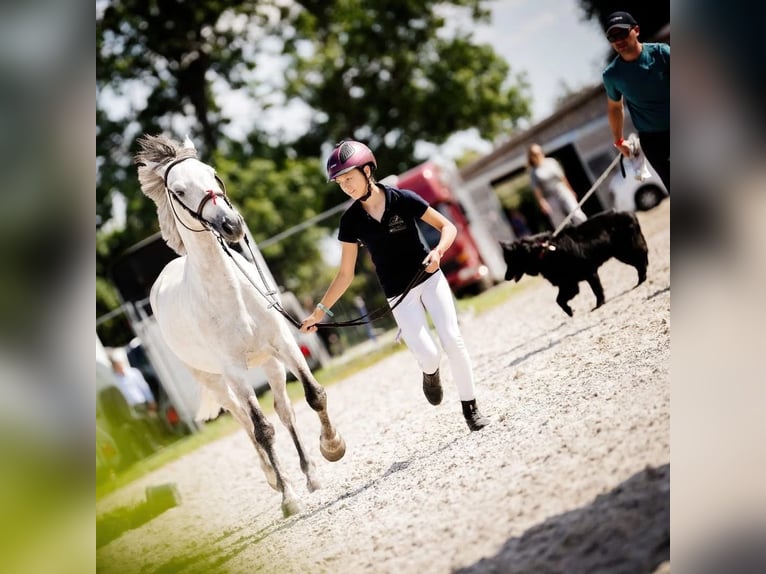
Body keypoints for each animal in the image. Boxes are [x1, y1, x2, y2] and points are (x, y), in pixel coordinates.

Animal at [134, 134, 346, 517]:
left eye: (212, 173)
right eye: (179, 190)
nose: (232, 225)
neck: (229, 295)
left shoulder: (285, 346)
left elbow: (313, 395)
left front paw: (332, 447)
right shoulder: (234, 373)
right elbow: (262, 430)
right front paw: (288, 498)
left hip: (270, 364)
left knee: (284, 411)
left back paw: (309, 473)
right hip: (216, 382)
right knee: (245, 423)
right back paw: (274, 478)